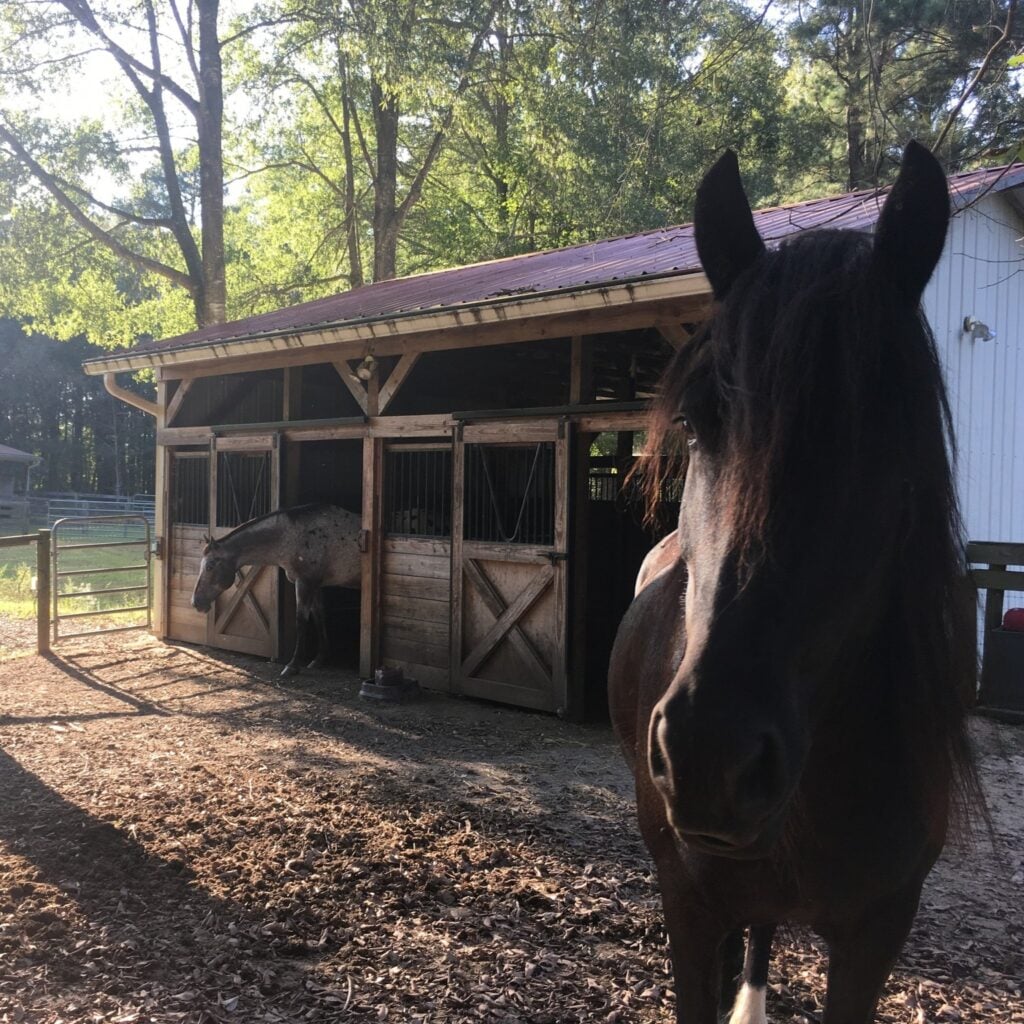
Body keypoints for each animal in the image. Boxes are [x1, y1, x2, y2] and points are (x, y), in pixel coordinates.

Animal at [191, 504, 362, 676]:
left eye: (210, 566)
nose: (195, 602)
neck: (294, 536)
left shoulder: (305, 583)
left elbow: (301, 621)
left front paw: (292, 666)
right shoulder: (315, 585)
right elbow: (319, 617)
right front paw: (319, 659)